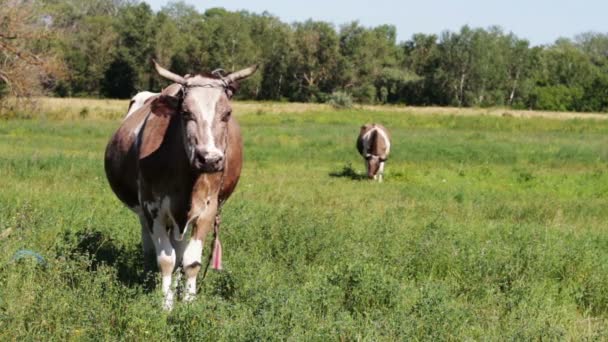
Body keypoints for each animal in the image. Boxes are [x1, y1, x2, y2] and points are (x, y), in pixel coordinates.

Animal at [104, 61, 256, 310]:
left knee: (180, 250)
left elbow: (191, 261)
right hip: (144, 212)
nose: (210, 159)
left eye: (227, 113)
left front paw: (188, 303)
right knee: (151, 248)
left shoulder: (207, 210)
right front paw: (166, 305)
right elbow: (166, 259)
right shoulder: (152, 208)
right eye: (186, 113)